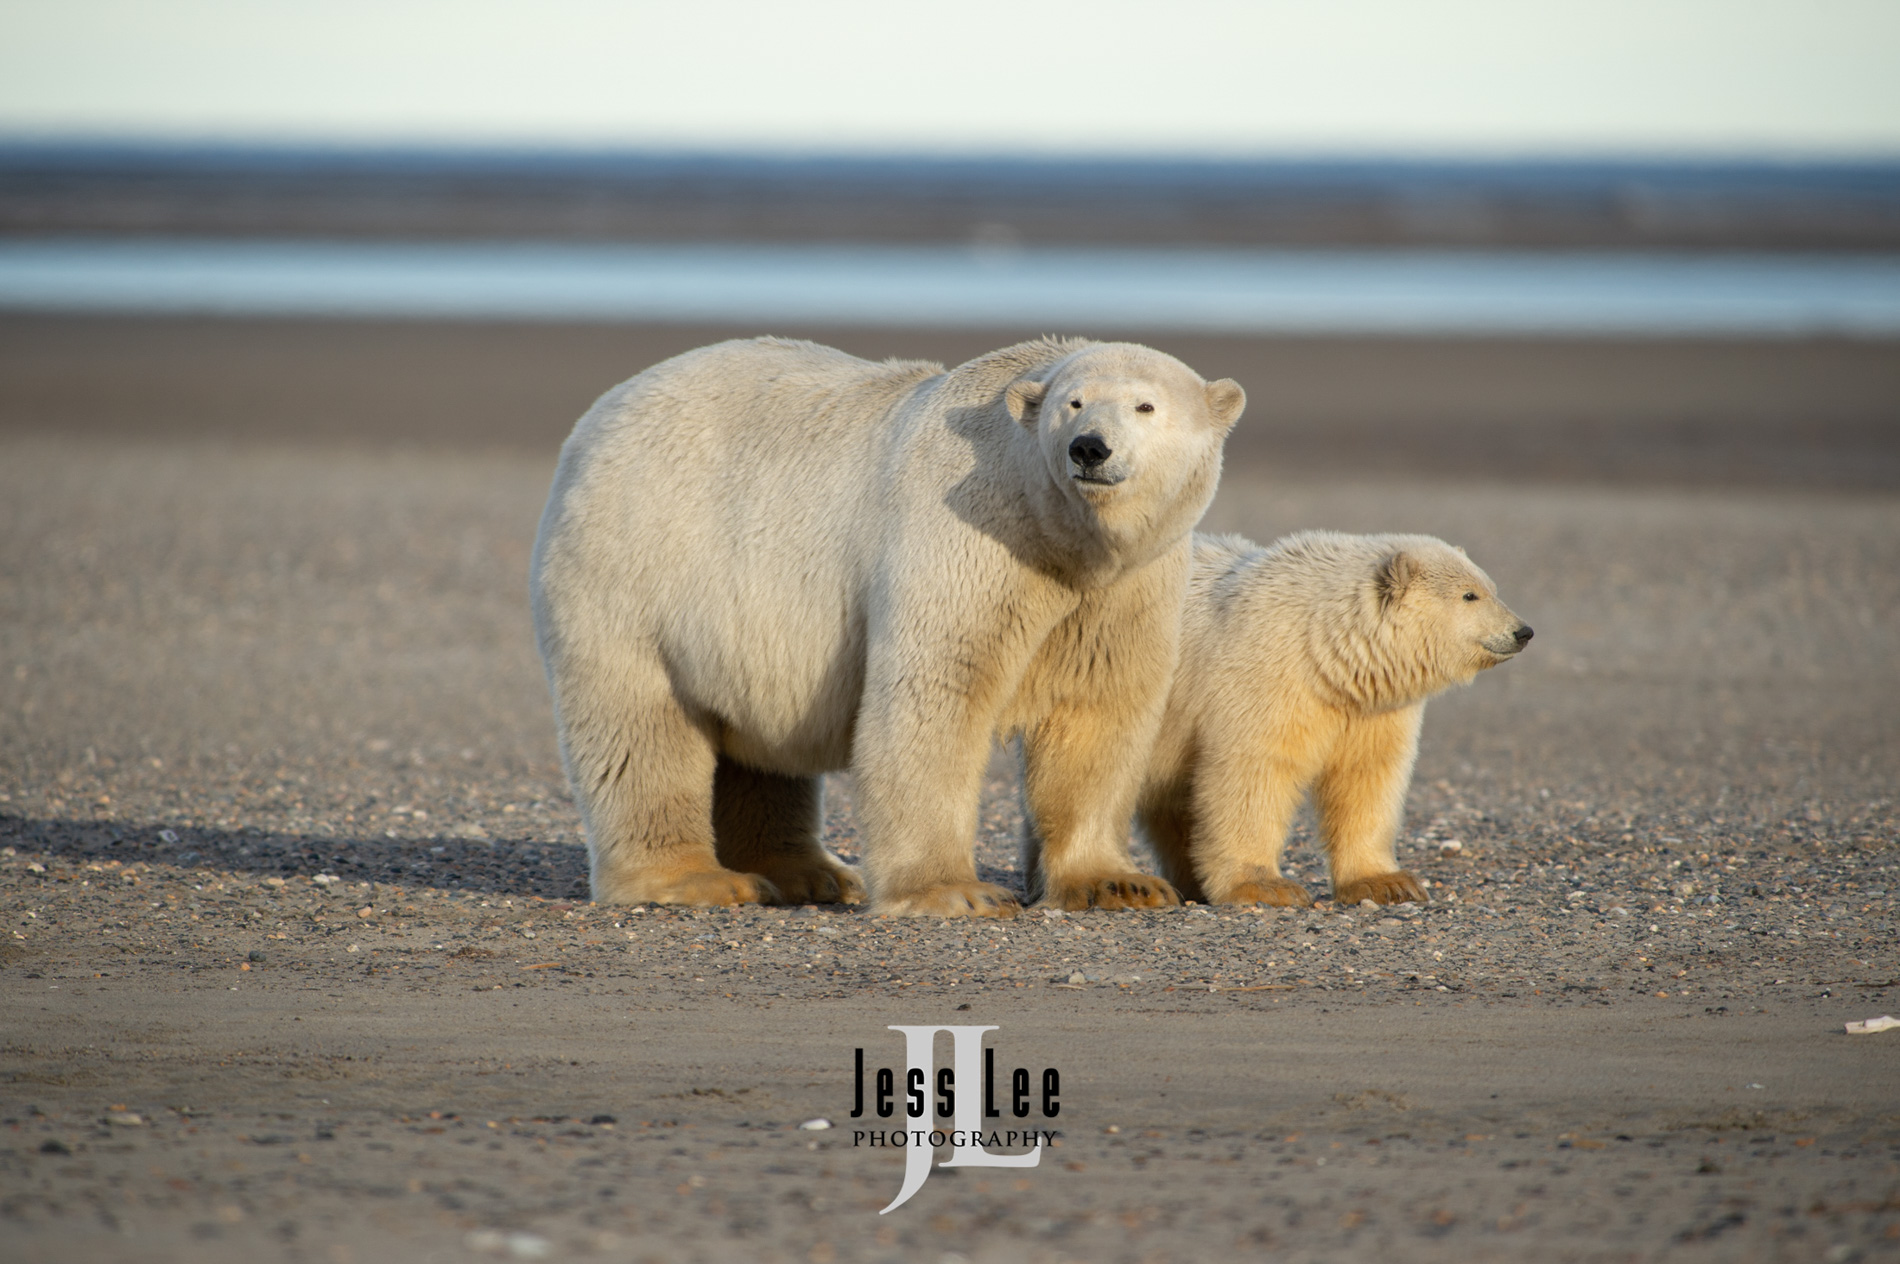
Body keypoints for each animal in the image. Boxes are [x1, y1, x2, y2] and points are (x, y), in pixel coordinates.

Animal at [535, 334, 1246, 916]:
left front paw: (1119, 884)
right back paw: (698, 879)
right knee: (641, 729)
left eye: (1145, 407)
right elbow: (936, 696)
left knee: (756, 749)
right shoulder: (966, 538)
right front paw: (954, 892)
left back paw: (808, 874)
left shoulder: (1125, 588)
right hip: (637, 567)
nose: (1090, 448)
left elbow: (1096, 709)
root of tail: (602, 414)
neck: (1057, 536)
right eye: (1073, 404)